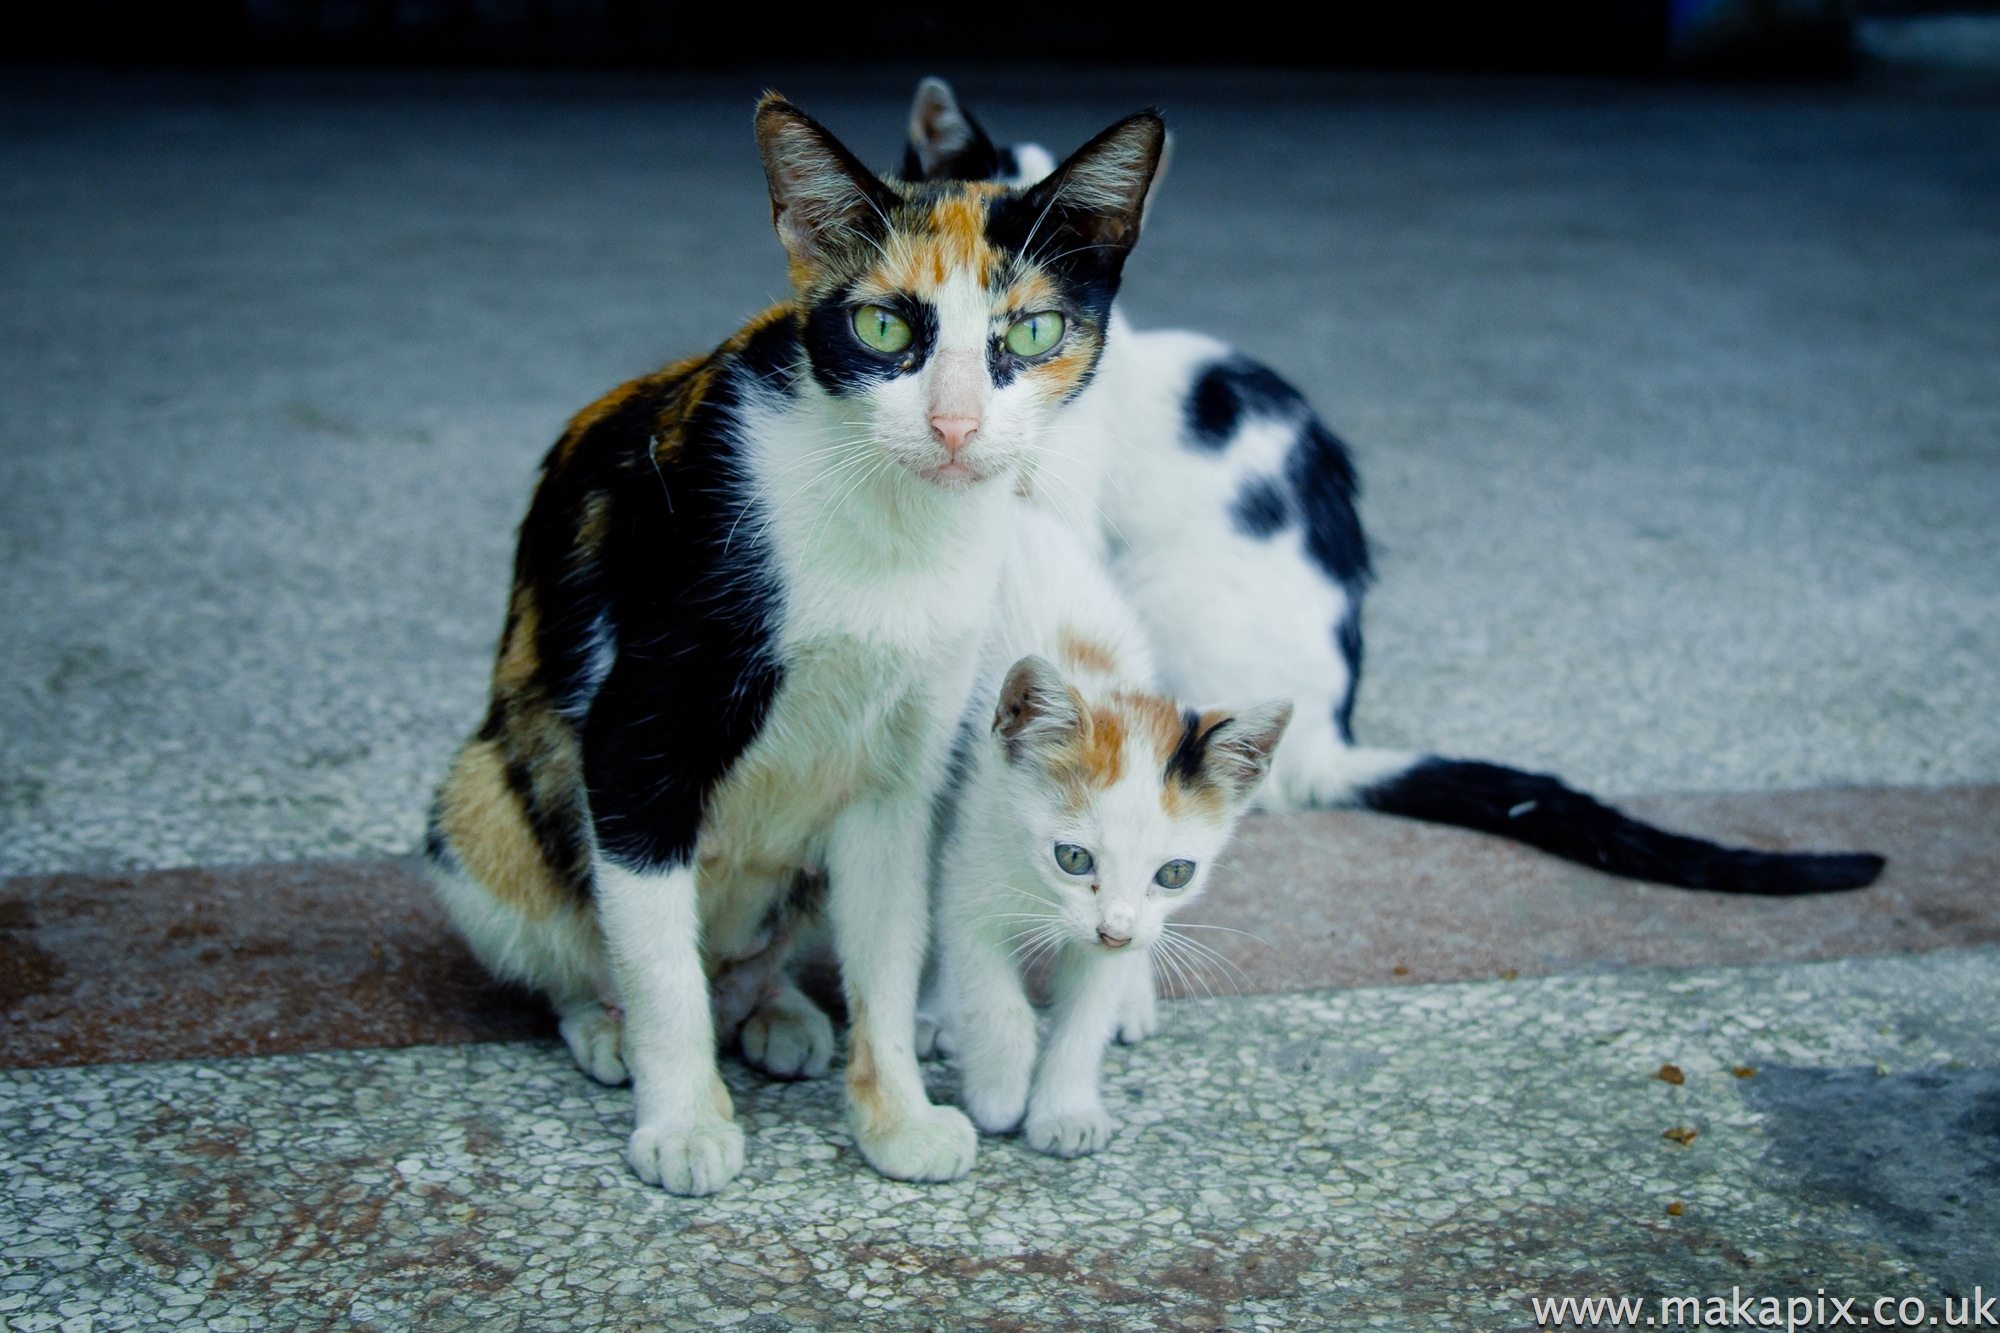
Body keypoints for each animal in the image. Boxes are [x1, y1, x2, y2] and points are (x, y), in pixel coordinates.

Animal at [426, 93, 1168, 1192]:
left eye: (1032, 330)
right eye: (881, 325)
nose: (954, 427)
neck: (893, 528)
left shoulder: (898, 775)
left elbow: (888, 959)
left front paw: (895, 1118)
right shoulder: (637, 736)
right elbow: (659, 963)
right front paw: (684, 1124)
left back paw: (775, 1009)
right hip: (480, 800)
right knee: (584, 929)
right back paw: (606, 1024)